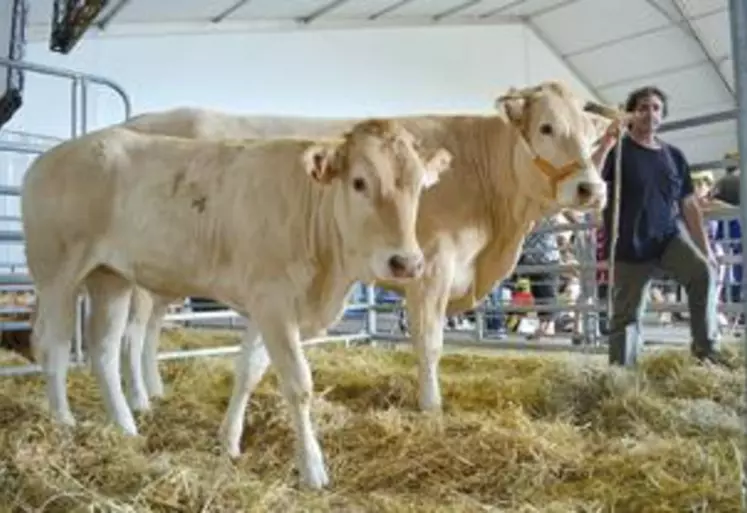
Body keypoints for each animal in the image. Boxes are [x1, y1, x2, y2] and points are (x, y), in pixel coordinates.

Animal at [20, 117, 450, 488]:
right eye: (360, 182)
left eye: (418, 186)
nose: (406, 262)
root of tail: (48, 158)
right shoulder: (274, 303)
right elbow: (298, 384)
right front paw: (312, 468)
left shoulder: (263, 306)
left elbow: (248, 372)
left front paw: (229, 441)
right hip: (57, 274)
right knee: (54, 347)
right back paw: (64, 423)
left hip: (111, 278)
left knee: (104, 349)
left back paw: (126, 428)